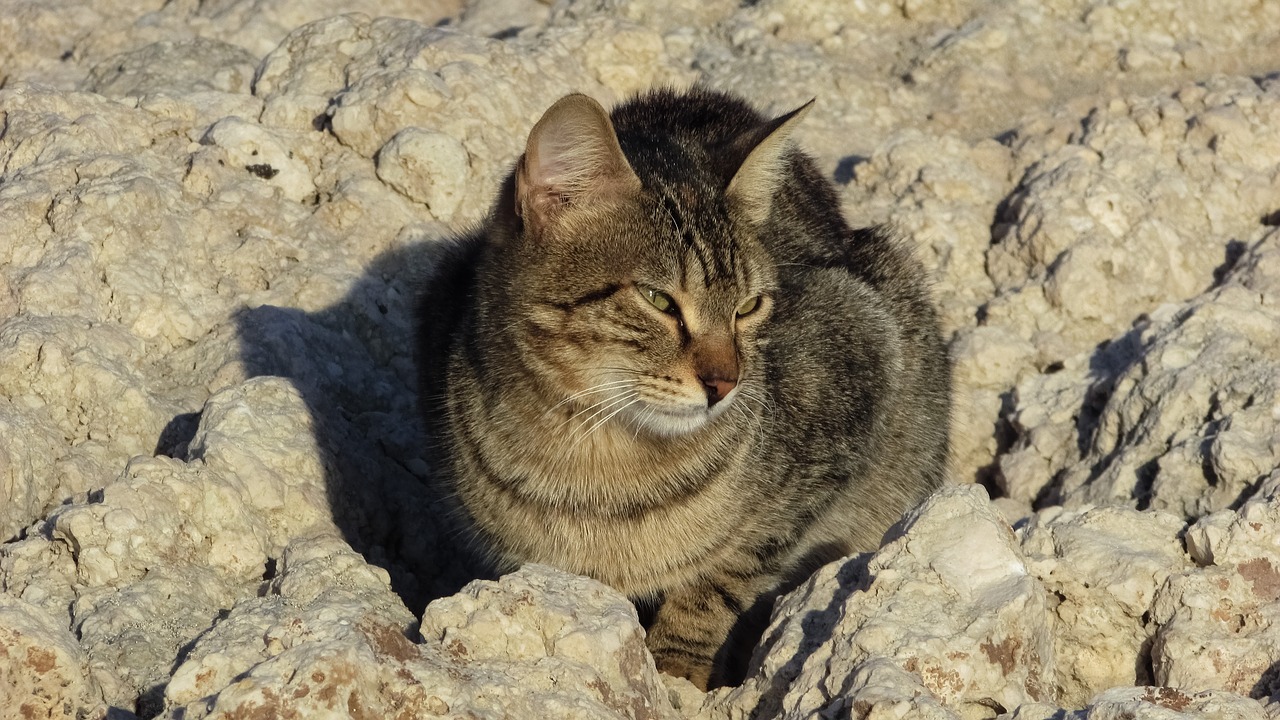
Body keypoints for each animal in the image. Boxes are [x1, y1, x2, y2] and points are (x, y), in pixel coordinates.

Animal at [414, 87, 957, 686]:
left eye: (749, 306)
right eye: (658, 300)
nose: (726, 382)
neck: (599, 461)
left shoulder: (858, 374)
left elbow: (721, 582)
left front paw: (676, 670)